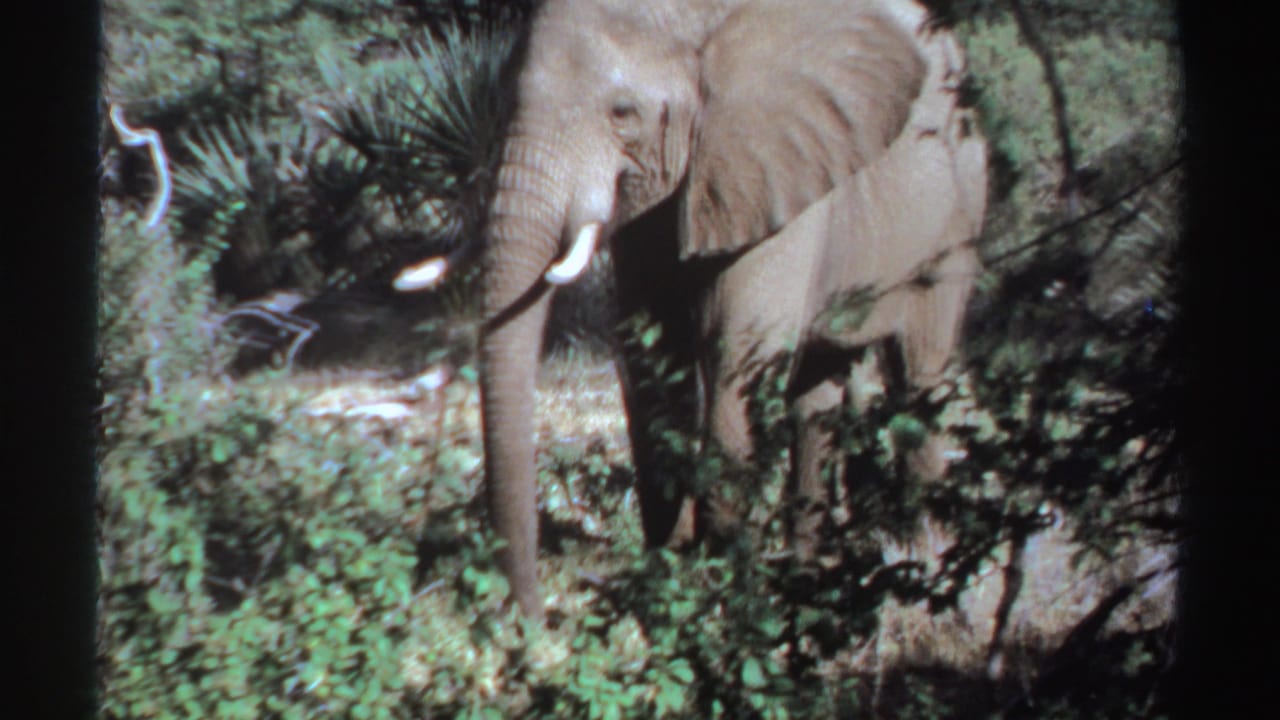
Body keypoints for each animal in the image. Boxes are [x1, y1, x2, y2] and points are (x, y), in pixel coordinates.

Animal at [420, 0, 988, 618]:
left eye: (623, 113)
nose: (532, 619)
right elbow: (648, 350)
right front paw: (665, 572)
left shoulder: (776, 168)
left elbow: (736, 351)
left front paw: (719, 598)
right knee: (814, 398)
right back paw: (809, 574)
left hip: (958, 210)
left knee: (919, 376)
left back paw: (928, 577)